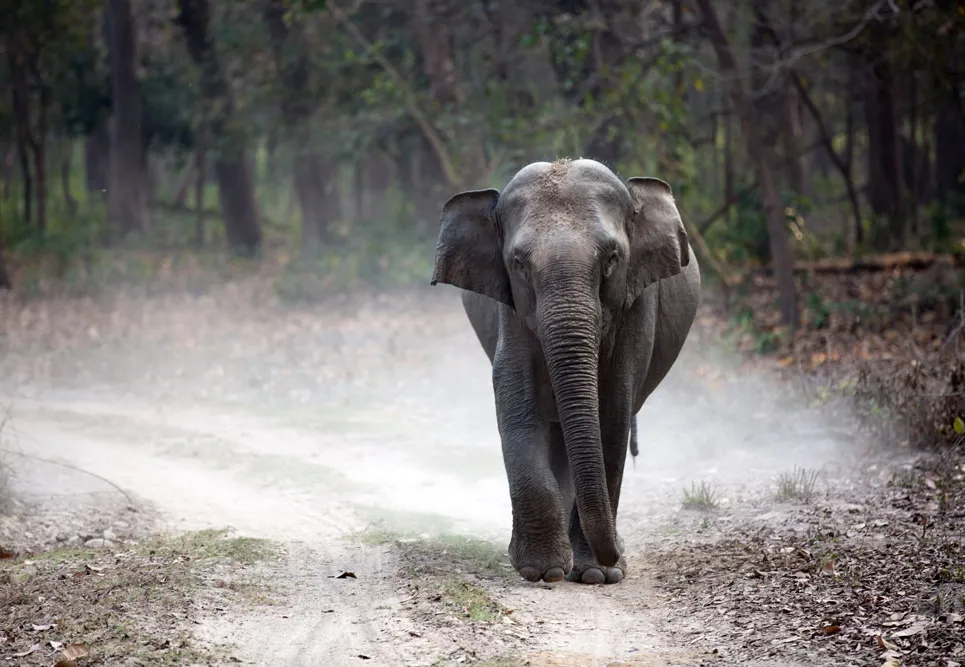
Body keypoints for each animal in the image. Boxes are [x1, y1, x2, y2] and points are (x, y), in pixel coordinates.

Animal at [430, 158, 700, 585]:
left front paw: (596, 575)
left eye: (611, 258)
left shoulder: (637, 305)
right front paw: (544, 571)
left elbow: (612, 414)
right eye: (518, 264)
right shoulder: (511, 312)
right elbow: (517, 407)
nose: (614, 557)